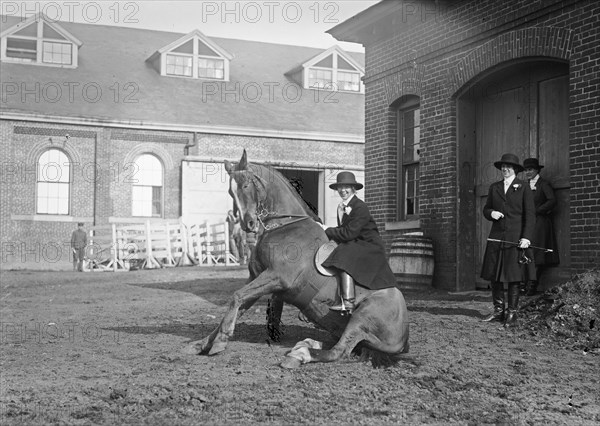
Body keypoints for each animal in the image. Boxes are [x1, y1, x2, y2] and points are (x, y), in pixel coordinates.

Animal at [185, 151, 410, 368]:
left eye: (246, 185)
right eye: (231, 192)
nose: (247, 224)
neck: (284, 226)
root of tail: (404, 338)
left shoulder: (277, 277)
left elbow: (236, 297)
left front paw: (220, 342)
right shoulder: (257, 278)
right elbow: (237, 304)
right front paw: (202, 343)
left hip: (362, 316)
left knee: (340, 351)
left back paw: (300, 355)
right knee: (341, 347)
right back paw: (304, 346)